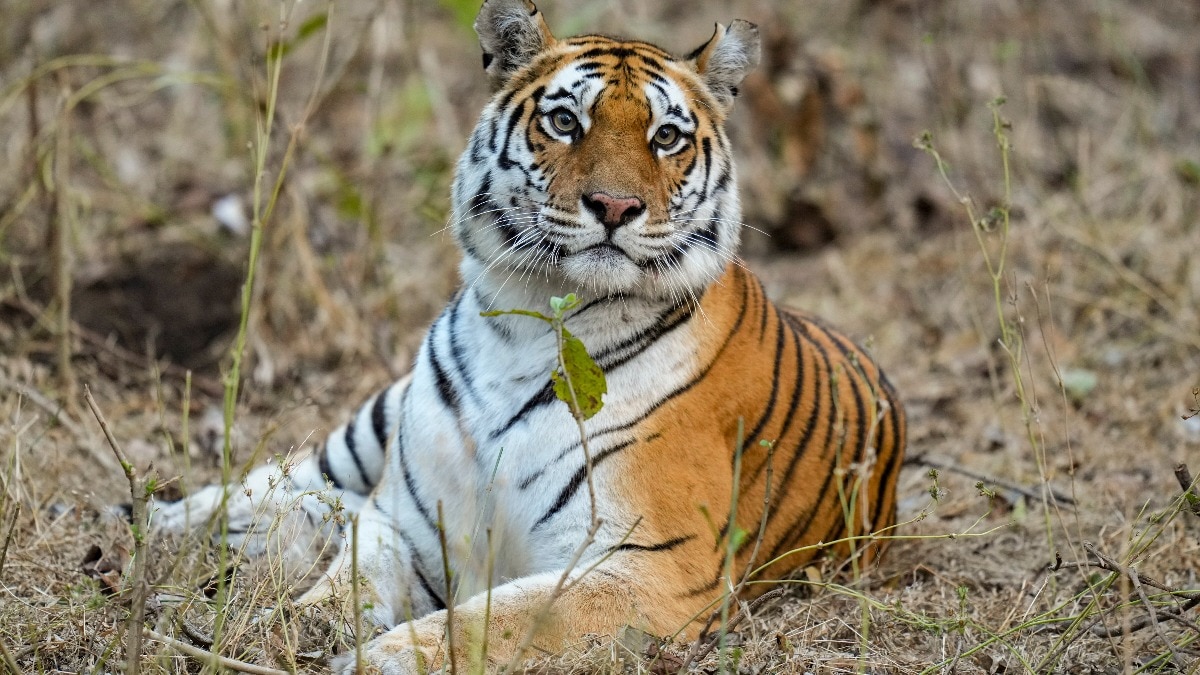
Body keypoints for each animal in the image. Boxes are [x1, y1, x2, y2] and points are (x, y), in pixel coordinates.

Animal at [154, 0, 906, 672]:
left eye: (666, 136)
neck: (526, 319)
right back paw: (164, 521)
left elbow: (500, 617)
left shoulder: (648, 566)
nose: (616, 205)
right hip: (373, 423)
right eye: (566, 121)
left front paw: (384, 655)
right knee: (290, 478)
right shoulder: (404, 519)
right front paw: (290, 624)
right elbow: (348, 579)